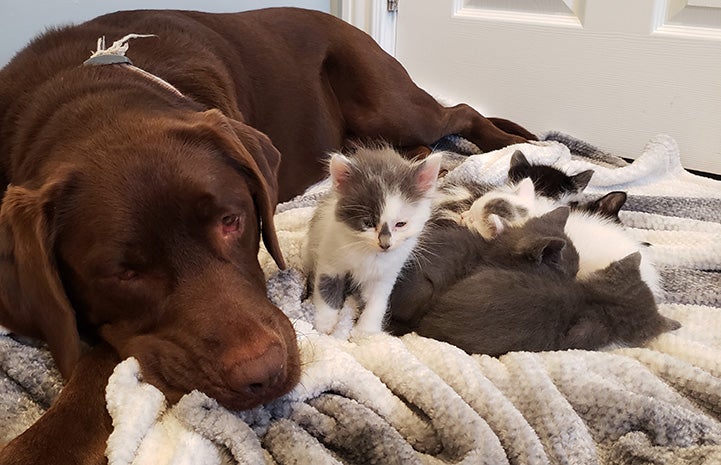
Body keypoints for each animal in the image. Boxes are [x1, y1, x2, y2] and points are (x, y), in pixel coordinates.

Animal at [302, 145, 442, 338]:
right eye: (368, 223)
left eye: (400, 224)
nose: (385, 244)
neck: (370, 255)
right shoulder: (329, 257)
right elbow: (326, 288)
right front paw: (325, 323)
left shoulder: (388, 272)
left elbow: (378, 301)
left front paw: (366, 331)